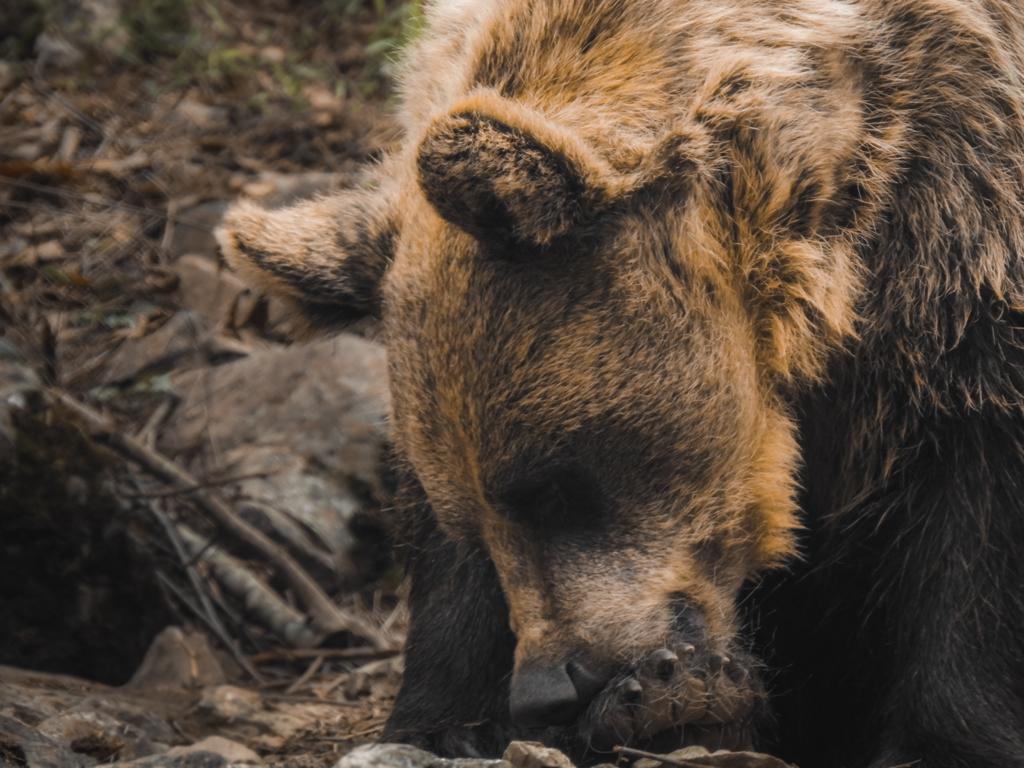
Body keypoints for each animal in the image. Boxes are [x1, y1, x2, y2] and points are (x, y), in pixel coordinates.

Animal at [218, 1, 1024, 768]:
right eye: (472, 515)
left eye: (555, 488)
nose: (550, 686)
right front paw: (453, 721)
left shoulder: (958, 292)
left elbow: (978, 530)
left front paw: (941, 743)